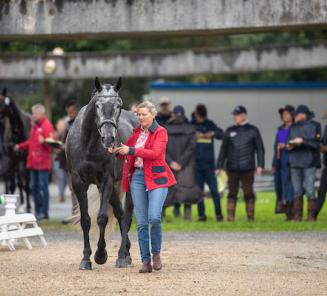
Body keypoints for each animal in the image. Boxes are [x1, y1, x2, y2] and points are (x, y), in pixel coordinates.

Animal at [66, 77, 139, 270]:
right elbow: (85, 220)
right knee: (120, 214)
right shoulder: (78, 183)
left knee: (126, 217)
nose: (109, 139)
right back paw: (126, 253)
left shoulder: (106, 180)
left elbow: (102, 218)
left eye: (118, 105)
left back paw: (121, 256)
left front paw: (100, 255)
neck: (89, 143)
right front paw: (86, 259)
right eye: (97, 105)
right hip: (113, 188)